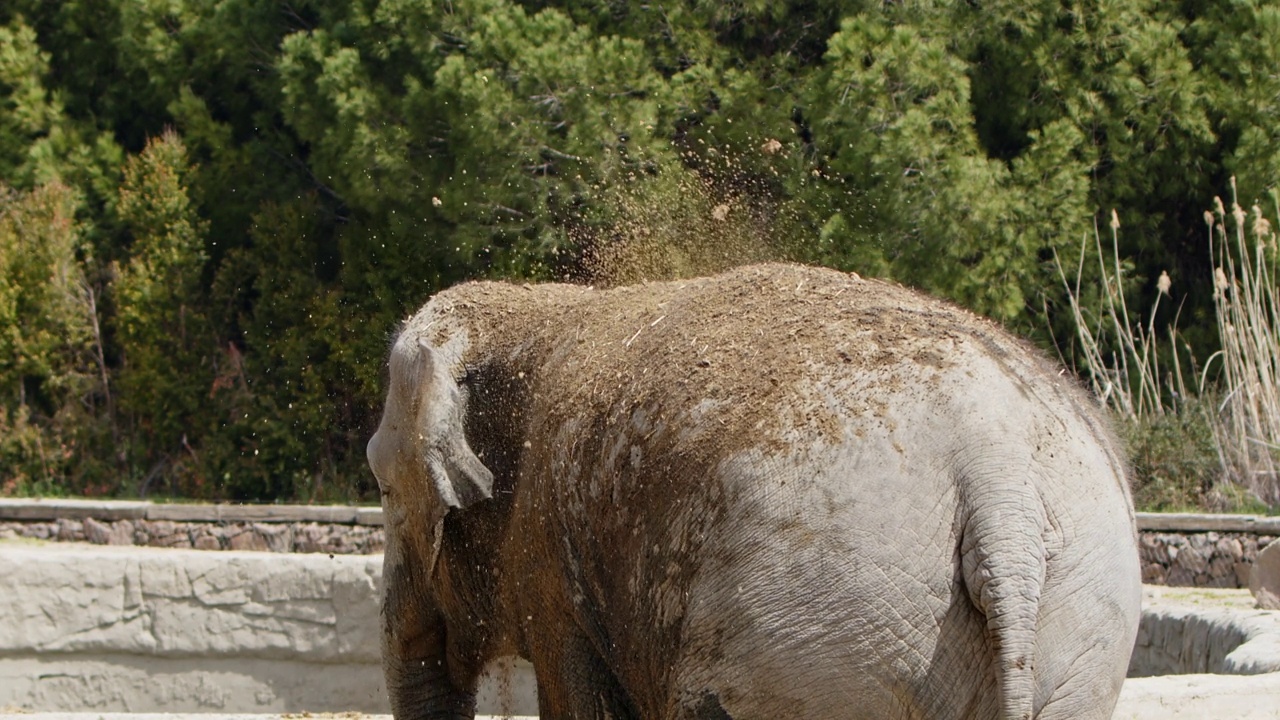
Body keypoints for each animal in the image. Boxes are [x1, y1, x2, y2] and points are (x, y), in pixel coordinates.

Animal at [368, 260, 1141, 712]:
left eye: (381, 488)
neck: (539, 307)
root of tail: (998, 482)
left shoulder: (547, 565)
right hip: (1080, 628)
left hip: (815, 626)